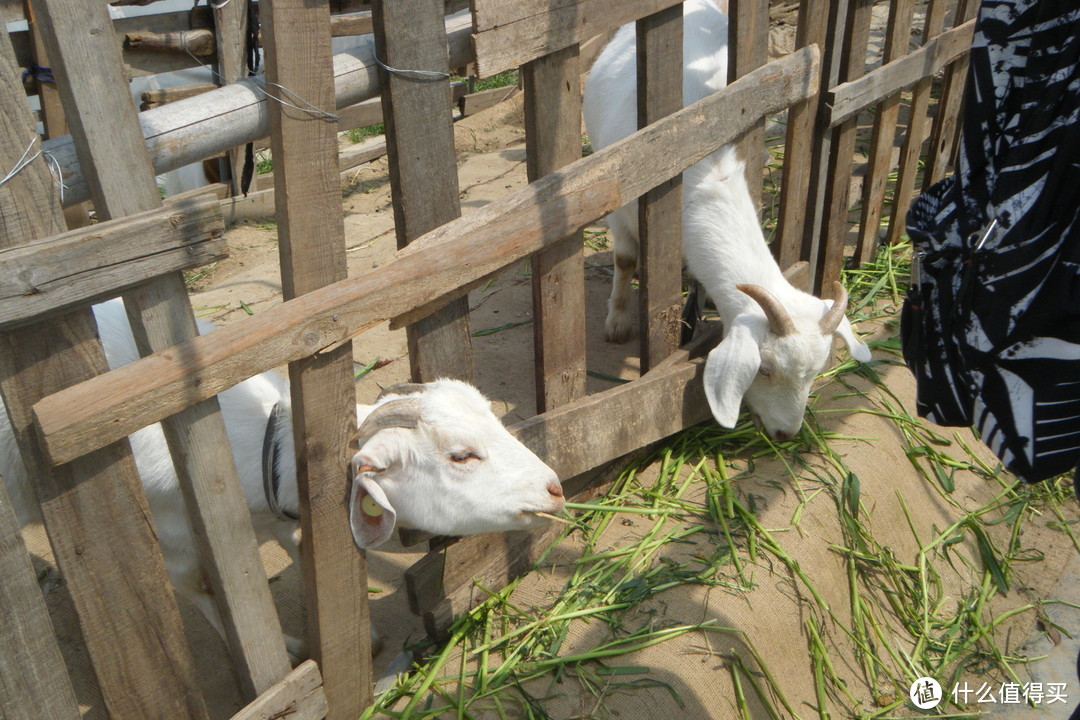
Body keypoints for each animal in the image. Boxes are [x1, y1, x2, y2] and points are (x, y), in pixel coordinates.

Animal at [4, 302, 565, 651]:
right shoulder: (173, 541)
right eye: (461, 456)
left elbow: (302, 543)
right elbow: (197, 589)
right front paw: (293, 647)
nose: (554, 488)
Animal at [583, 0, 868, 440]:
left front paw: (692, 314)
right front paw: (617, 320)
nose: (786, 434)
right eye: (764, 369)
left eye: (814, 372)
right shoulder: (621, 208)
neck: (705, 175)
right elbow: (625, 259)